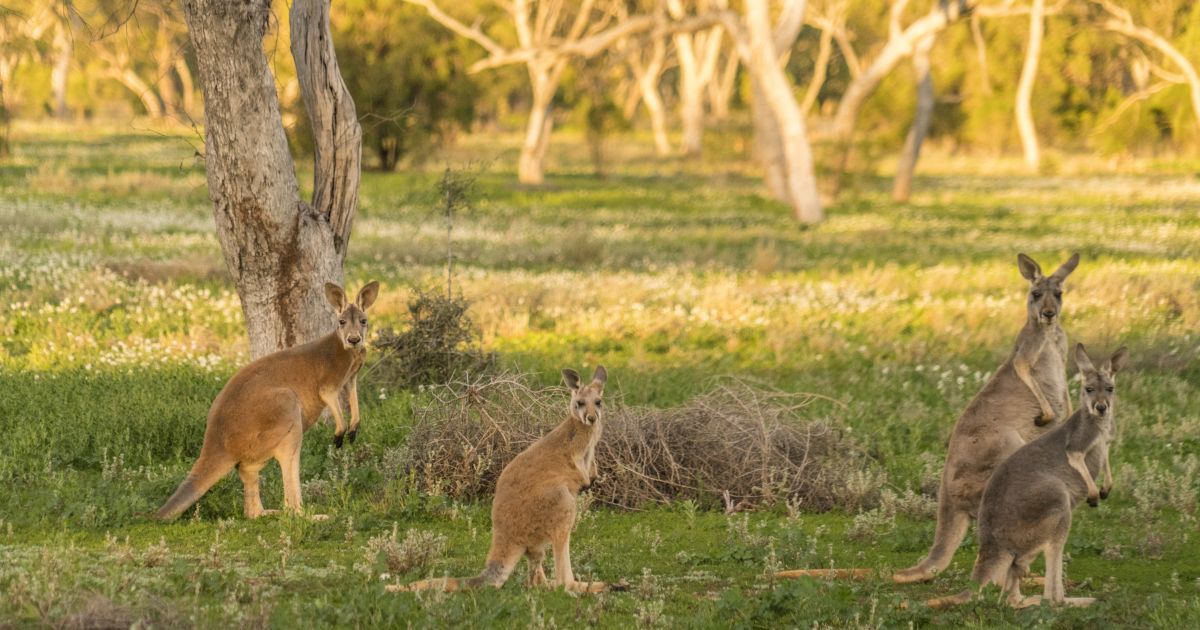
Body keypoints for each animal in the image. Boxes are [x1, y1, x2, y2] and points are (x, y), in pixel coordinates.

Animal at [154, 281, 380, 520]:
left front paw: (354, 428)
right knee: (289, 495)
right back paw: (311, 515)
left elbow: (354, 397)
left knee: (247, 478)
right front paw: (340, 432)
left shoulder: (351, 378)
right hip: (284, 408)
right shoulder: (328, 383)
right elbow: (330, 398)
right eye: (341, 322)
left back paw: (267, 512)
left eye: (364, 321)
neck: (347, 351)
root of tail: (216, 444)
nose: (354, 339)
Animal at [389, 366, 615, 594]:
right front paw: (585, 481)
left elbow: (590, 467)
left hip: (540, 534)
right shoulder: (573, 454)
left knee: (536, 576)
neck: (584, 431)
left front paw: (592, 477)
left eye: (598, 402)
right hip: (561, 501)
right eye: (580, 403)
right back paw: (592, 586)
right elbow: (576, 469)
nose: (591, 418)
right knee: (562, 580)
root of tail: (507, 536)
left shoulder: (589, 453)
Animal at [894, 253, 1080, 584]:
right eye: (1035, 294)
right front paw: (1047, 415)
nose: (1048, 314)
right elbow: (1023, 369)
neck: (1050, 333)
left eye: (1059, 294)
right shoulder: (1027, 351)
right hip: (1002, 443)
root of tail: (948, 496)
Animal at [928, 344, 1126, 609]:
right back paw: (1078, 600)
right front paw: (1095, 494)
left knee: (1013, 586)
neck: (1097, 424)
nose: (1101, 407)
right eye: (1089, 389)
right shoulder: (1077, 444)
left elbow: (1106, 463)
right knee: (1051, 594)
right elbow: (1077, 460)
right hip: (1054, 502)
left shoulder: (1105, 445)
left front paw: (1106, 488)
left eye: (1111, 389)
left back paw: (1026, 599)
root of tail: (993, 544)